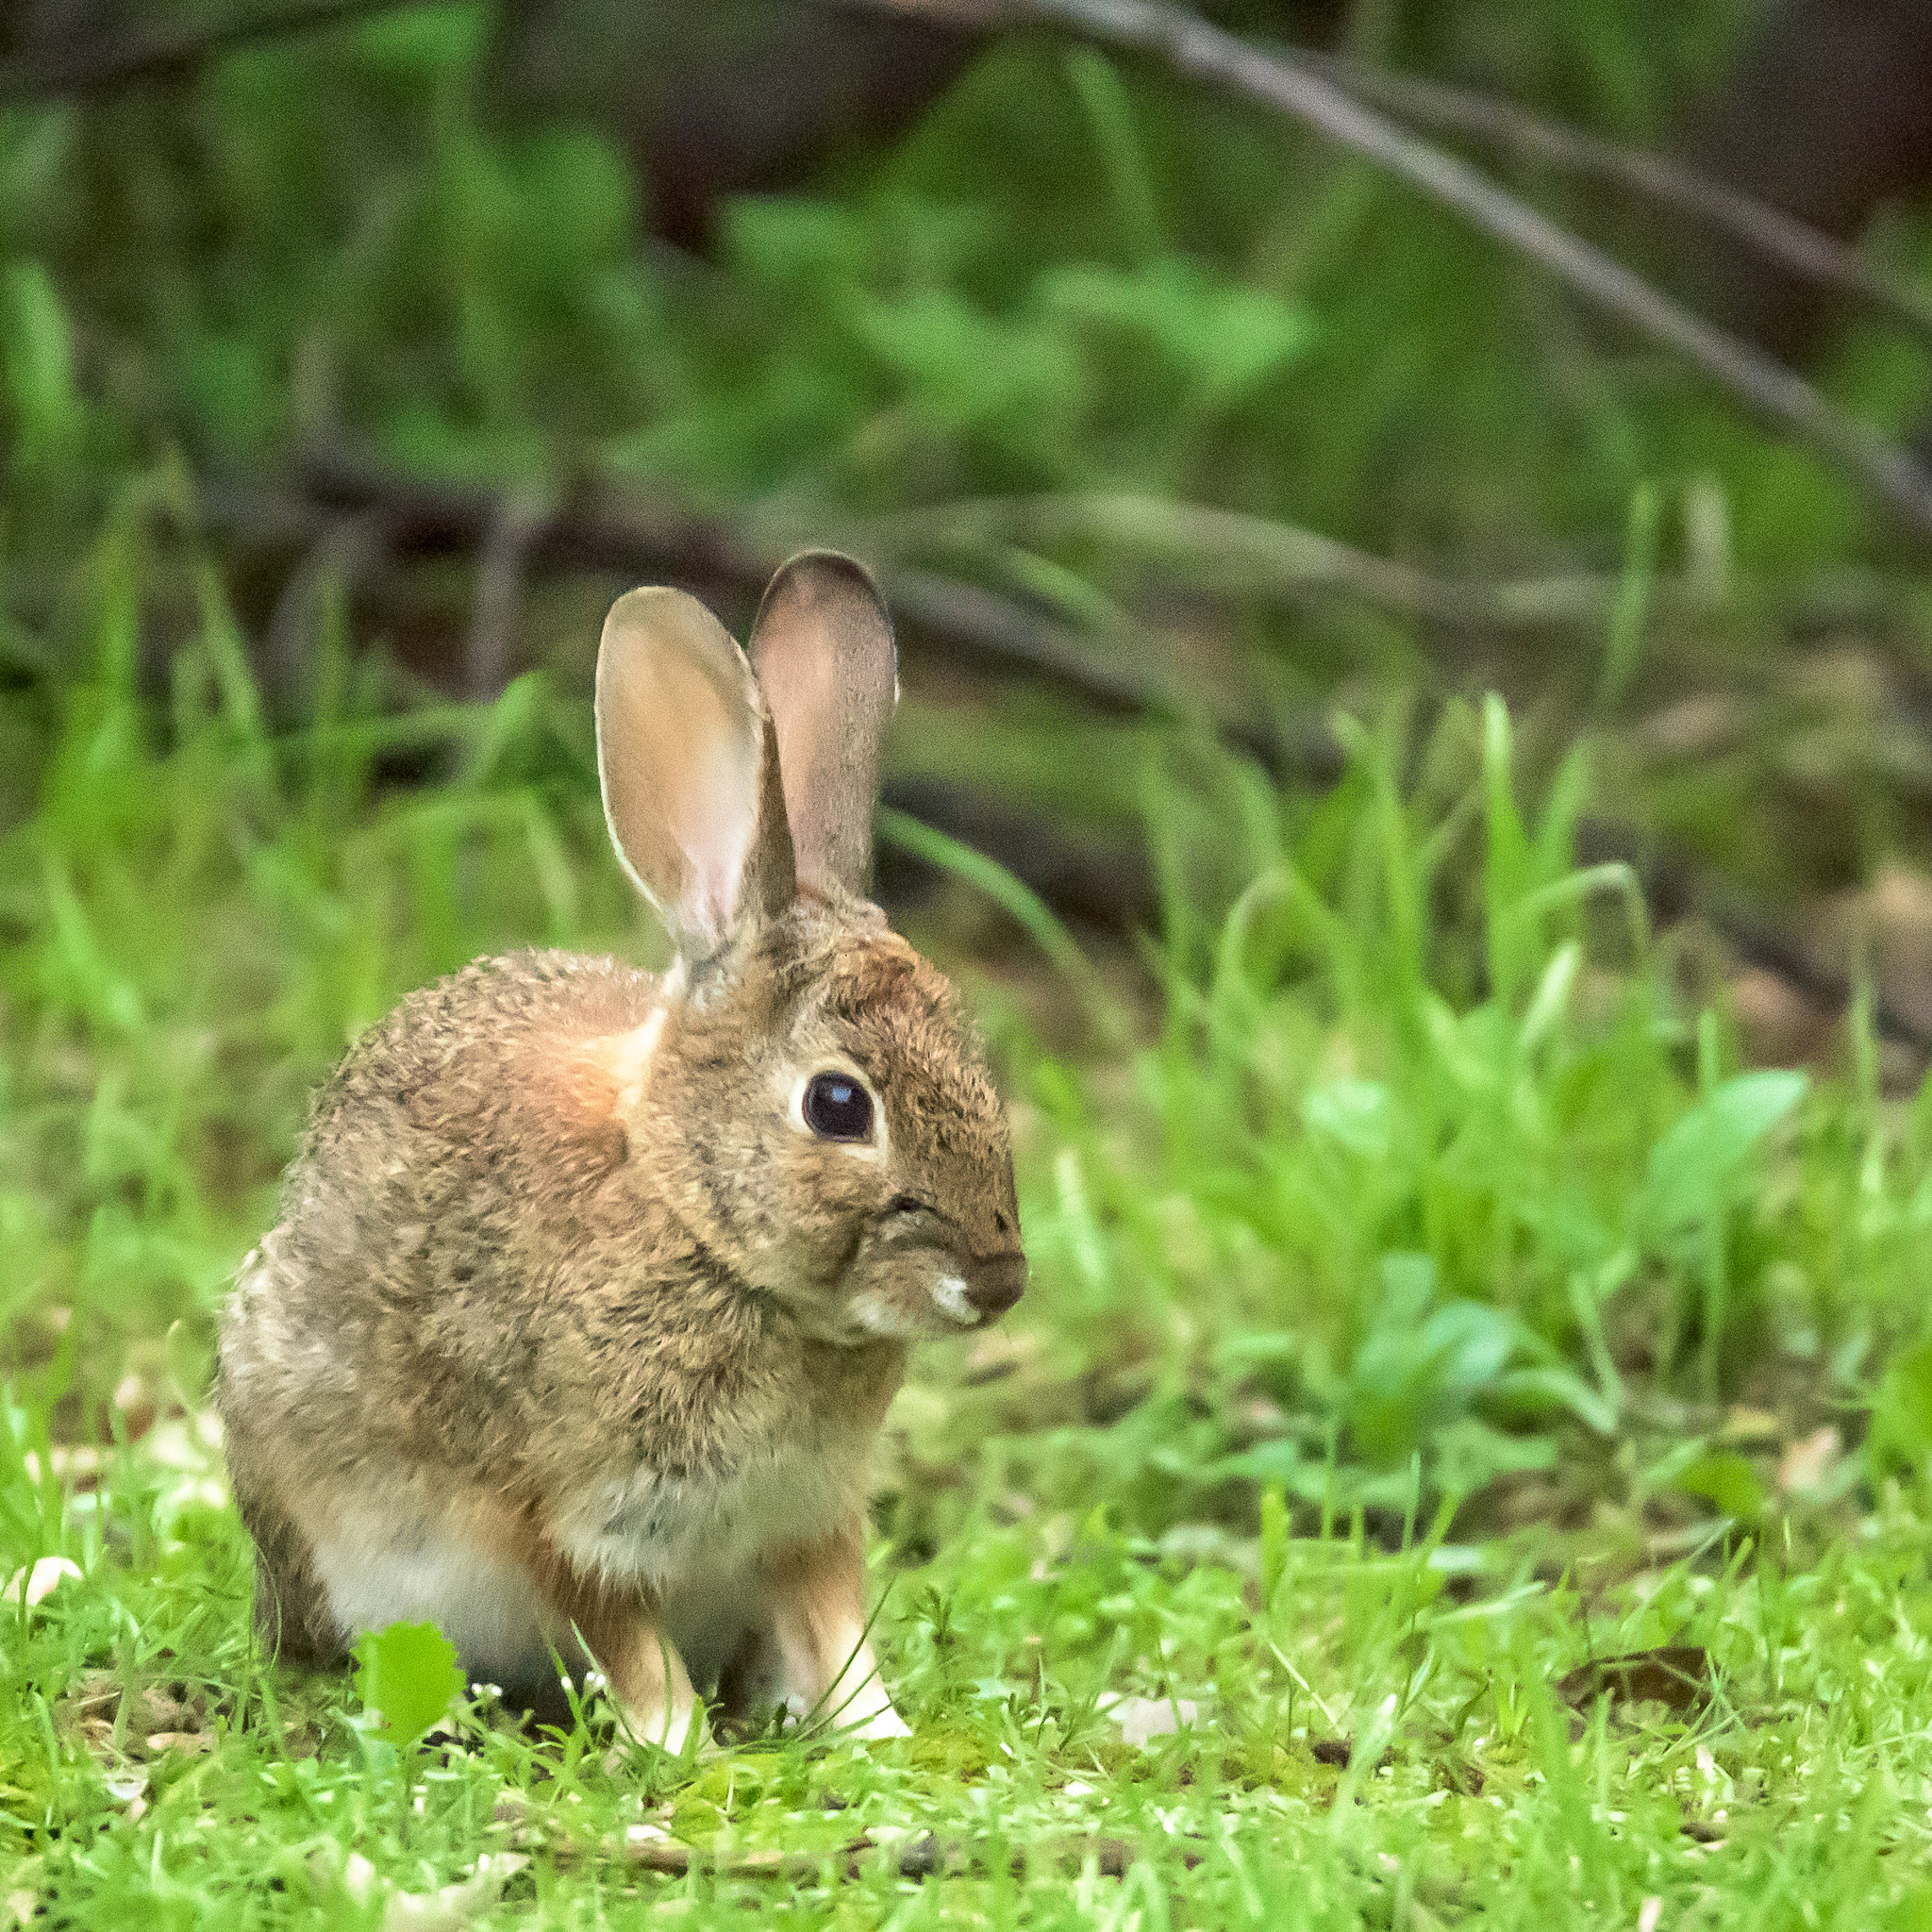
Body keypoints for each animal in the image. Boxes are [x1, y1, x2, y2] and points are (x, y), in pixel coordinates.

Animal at [216, 552, 1026, 1752]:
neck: (699, 1225)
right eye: (839, 1105)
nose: (999, 1279)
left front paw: (875, 1731)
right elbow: (624, 1638)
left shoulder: (803, 1519)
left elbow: (835, 1629)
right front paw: (678, 1746)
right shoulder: (568, 1515)